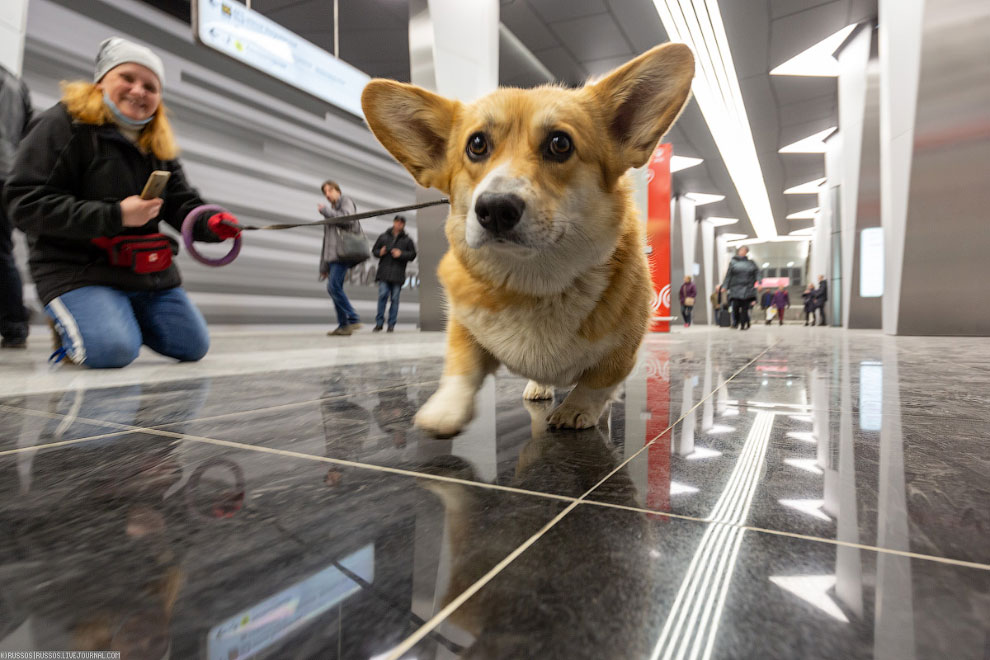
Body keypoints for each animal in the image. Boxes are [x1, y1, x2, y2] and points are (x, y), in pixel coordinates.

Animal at [360, 43, 692, 436]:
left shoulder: (622, 349)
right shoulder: (463, 324)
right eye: (476, 144)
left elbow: (598, 383)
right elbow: (461, 366)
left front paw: (577, 410)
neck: (534, 282)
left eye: (560, 143)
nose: (494, 209)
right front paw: (445, 409)